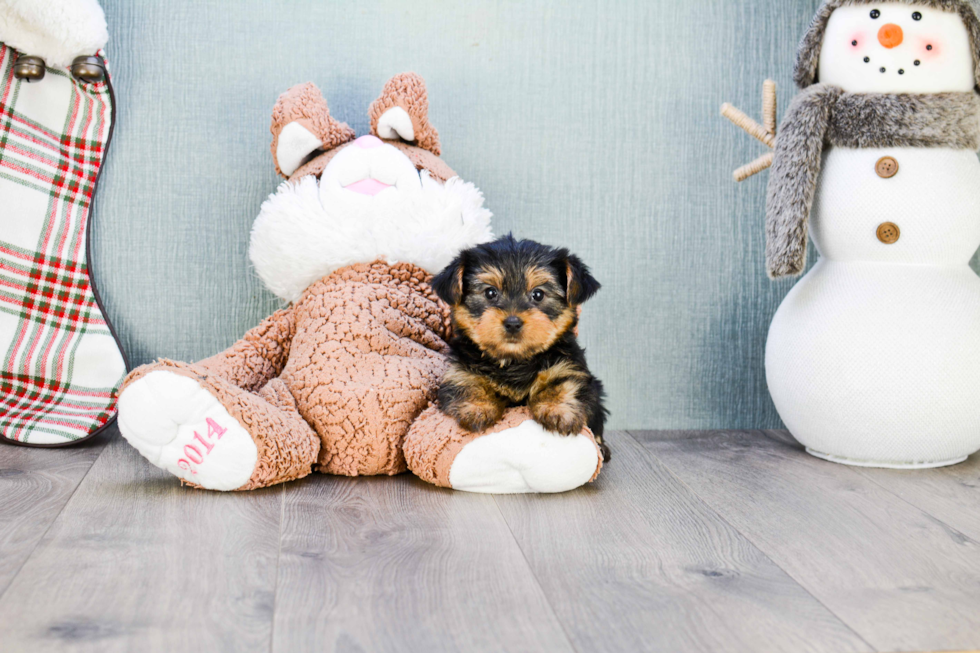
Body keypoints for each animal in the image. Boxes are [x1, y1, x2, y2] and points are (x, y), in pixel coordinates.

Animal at [432, 234, 608, 458]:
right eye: (490, 293)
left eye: (538, 294)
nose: (513, 322)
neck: (515, 360)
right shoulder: (460, 370)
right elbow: (466, 384)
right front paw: (477, 409)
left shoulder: (569, 367)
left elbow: (566, 384)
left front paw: (558, 411)